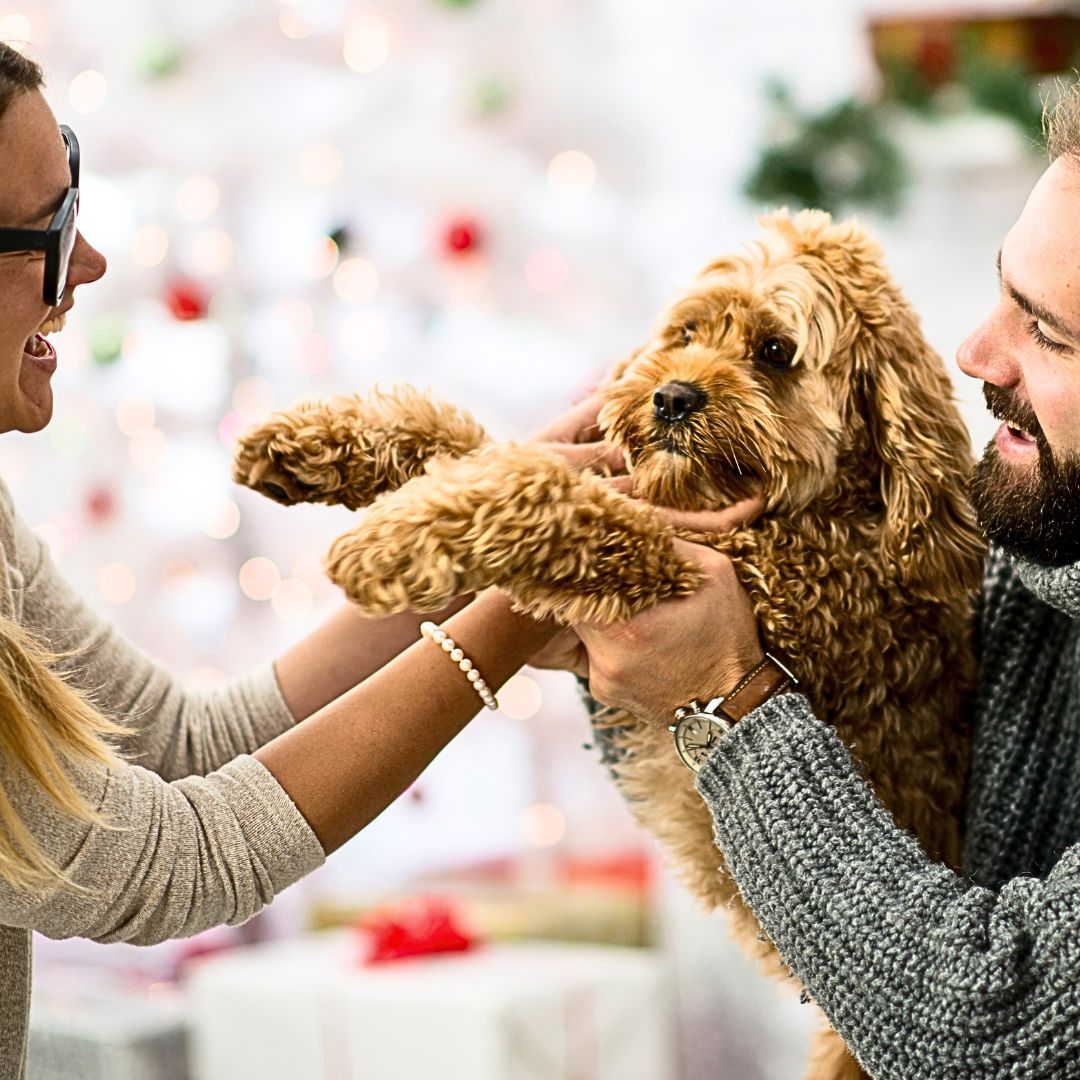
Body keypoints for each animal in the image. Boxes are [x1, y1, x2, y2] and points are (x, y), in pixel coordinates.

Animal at [234, 208, 989, 1080]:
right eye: (687, 332)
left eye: (775, 351)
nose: (671, 396)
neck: (816, 520)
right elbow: (476, 443)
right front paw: (311, 441)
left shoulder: (699, 570)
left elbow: (550, 492)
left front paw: (393, 539)